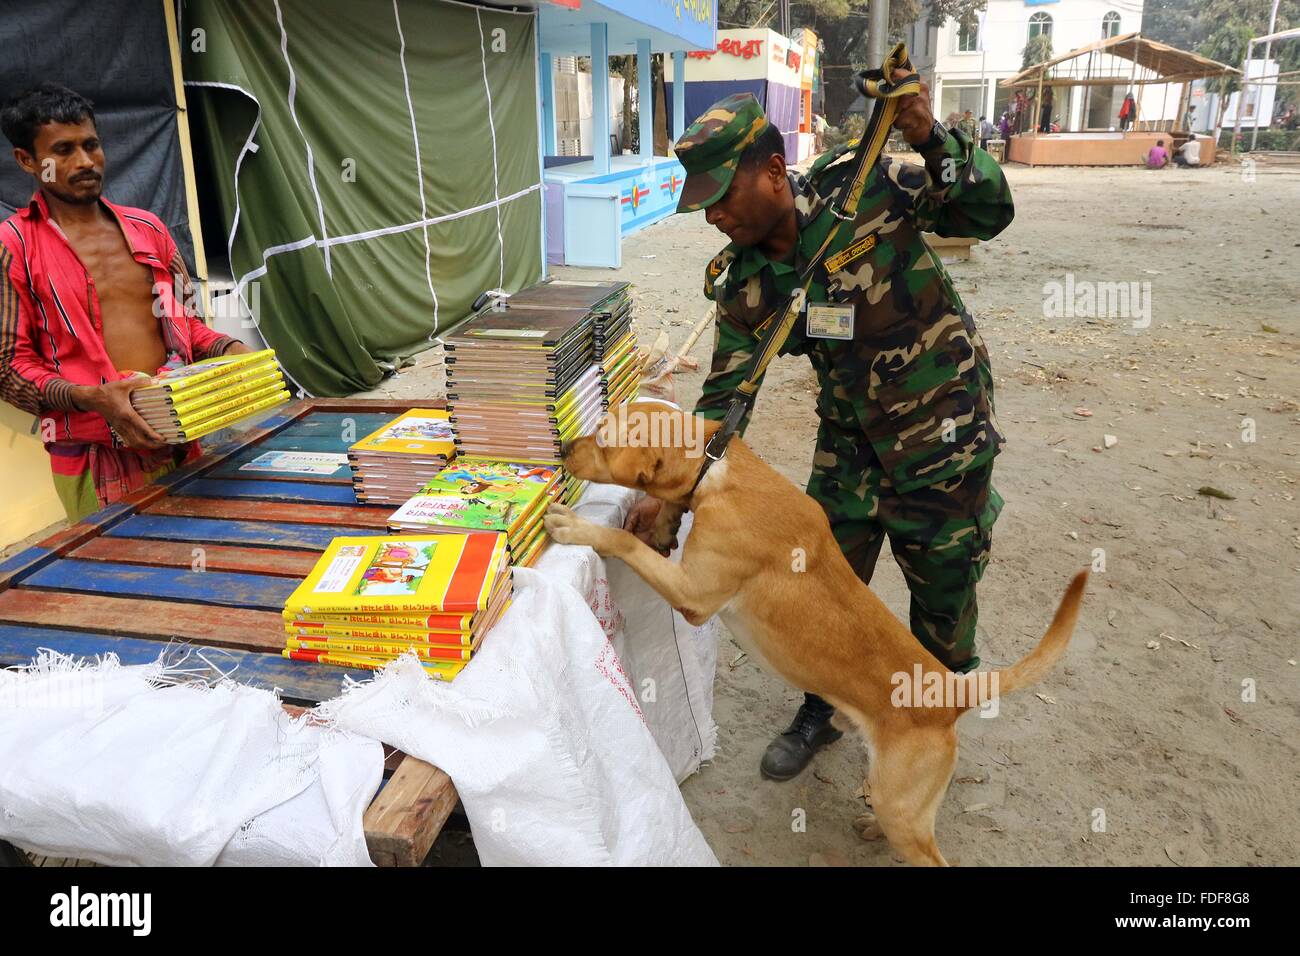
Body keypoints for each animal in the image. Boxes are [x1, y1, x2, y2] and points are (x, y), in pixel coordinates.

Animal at [543, 403, 1092, 868]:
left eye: (604, 438)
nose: (564, 447)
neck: (718, 472)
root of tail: (951, 691)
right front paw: (657, 521)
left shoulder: (694, 595)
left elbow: (622, 542)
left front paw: (580, 528)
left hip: (901, 805)